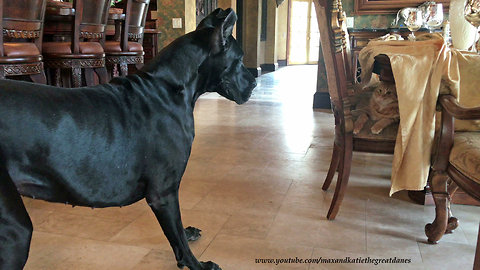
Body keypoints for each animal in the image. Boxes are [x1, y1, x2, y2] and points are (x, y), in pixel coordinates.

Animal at [0, 7, 255, 268]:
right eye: (239, 59)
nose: (254, 82)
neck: (167, 88)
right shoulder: (163, 193)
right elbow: (179, 242)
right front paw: (199, 264)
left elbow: (179, 232)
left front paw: (188, 232)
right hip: (16, 230)